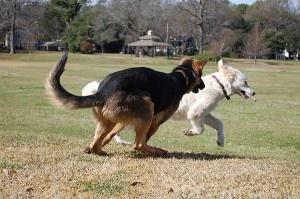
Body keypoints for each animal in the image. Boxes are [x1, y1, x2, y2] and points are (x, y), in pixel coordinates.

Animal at [45, 52, 206, 155]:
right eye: (201, 75)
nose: (204, 86)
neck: (181, 77)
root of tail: (102, 92)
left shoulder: (121, 120)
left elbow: (111, 134)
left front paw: (103, 143)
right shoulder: (155, 122)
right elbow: (145, 137)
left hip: (106, 121)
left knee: (96, 140)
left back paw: (96, 150)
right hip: (147, 108)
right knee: (138, 144)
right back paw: (157, 151)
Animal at [81, 59, 254, 146]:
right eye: (245, 82)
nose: (254, 93)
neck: (219, 85)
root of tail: (101, 89)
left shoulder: (205, 114)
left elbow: (219, 124)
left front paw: (220, 140)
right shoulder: (196, 113)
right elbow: (200, 129)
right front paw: (190, 132)